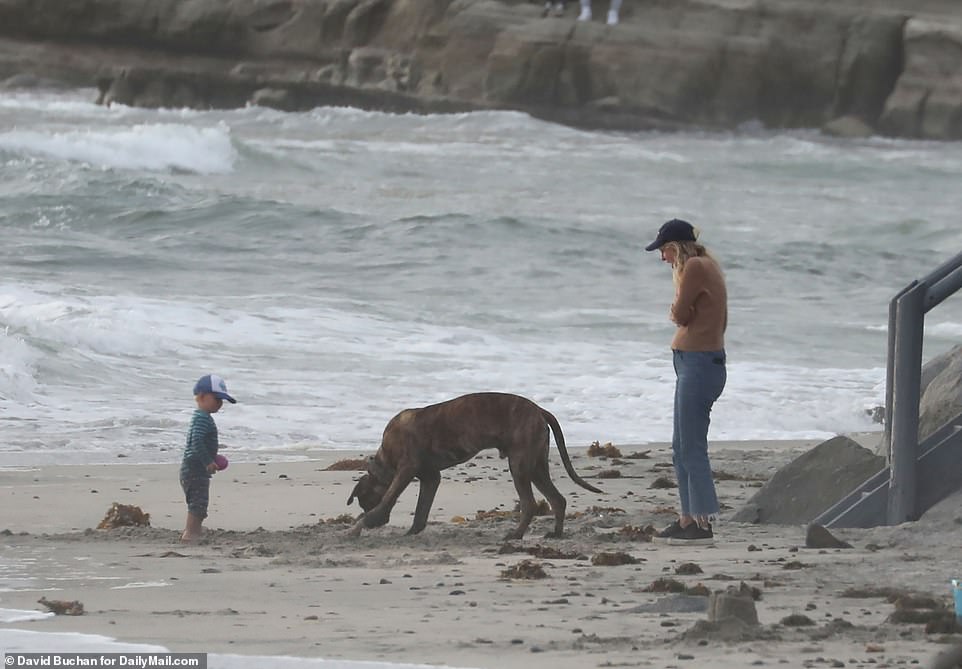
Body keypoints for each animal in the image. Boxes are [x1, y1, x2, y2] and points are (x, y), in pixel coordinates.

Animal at [344, 392, 600, 536]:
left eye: (364, 502)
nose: (380, 524)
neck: (385, 457)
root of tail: (539, 410)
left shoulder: (406, 469)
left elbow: (387, 500)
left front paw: (363, 523)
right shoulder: (431, 478)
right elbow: (421, 510)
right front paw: (412, 531)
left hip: (519, 464)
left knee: (529, 504)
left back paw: (515, 535)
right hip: (536, 466)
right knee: (557, 500)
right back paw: (555, 534)